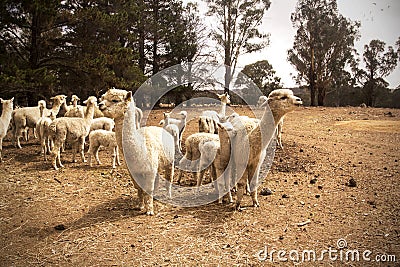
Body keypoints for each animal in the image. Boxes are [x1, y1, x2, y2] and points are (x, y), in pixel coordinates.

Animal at [97, 89, 174, 217]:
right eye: (102, 98)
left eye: (115, 100)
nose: (100, 105)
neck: (138, 148)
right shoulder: (134, 172)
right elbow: (139, 188)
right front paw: (140, 205)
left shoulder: (149, 170)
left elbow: (148, 188)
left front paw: (149, 210)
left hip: (170, 161)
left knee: (169, 178)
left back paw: (168, 195)